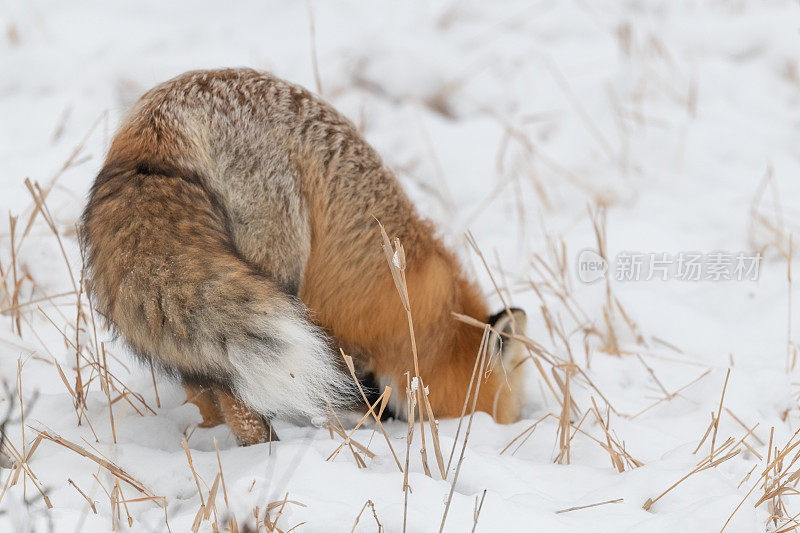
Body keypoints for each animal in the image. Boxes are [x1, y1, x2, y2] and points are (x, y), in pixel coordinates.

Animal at [81, 67, 528, 444]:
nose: (502, 433)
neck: (433, 325)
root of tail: (162, 114)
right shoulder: (352, 341)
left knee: (202, 376)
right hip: (280, 268)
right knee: (234, 386)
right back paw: (262, 448)